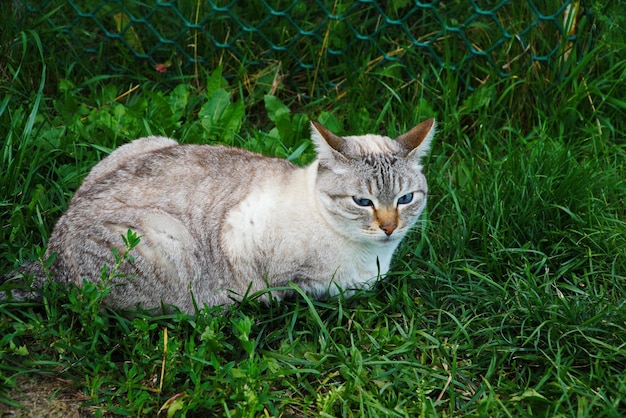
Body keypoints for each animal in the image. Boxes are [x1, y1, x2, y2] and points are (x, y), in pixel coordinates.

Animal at [2, 118, 434, 314]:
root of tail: (48, 255)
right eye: (362, 201)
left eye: (406, 198)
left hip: (149, 142)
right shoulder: (242, 237)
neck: (372, 259)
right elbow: (298, 286)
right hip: (165, 240)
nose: (389, 227)